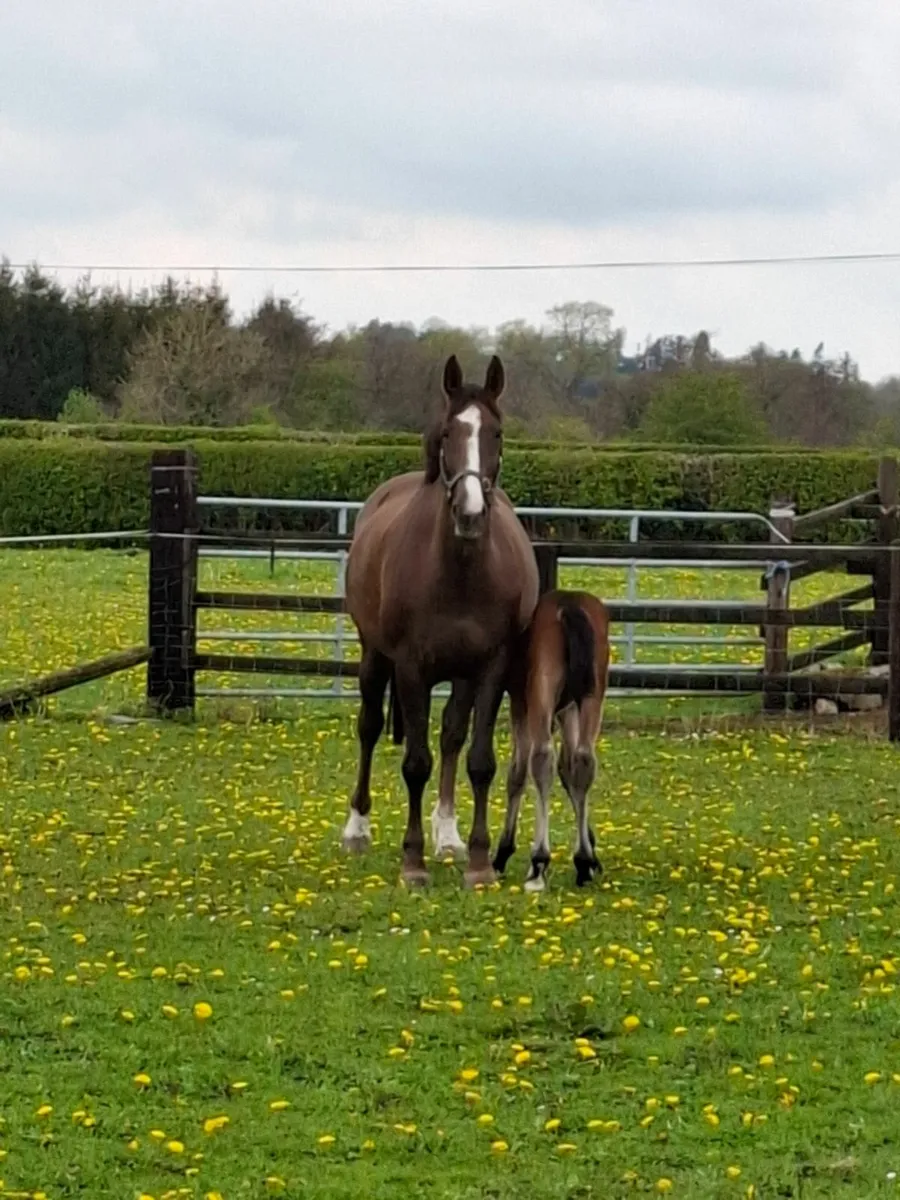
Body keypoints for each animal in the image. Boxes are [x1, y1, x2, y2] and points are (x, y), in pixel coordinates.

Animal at [341, 354, 540, 887]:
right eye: (449, 432)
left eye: (497, 433)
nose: (470, 513)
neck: (461, 573)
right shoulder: (411, 667)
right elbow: (415, 763)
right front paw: (413, 864)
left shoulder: (490, 667)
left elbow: (478, 760)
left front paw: (478, 863)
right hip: (374, 656)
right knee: (369, 727)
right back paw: (357, 828)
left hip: (462, 674)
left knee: (452, 735)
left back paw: (448, 835)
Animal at [492, 588, 610, 891]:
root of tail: (569, 605)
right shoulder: (568, 709)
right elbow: (568, 769)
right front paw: (590, 856)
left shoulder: (521, 703)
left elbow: (517, 772)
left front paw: (503, 853)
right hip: (592, 697)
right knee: (584, 760)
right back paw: (582, 862)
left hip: (541, 692)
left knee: (542, 758)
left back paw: (539, 862)